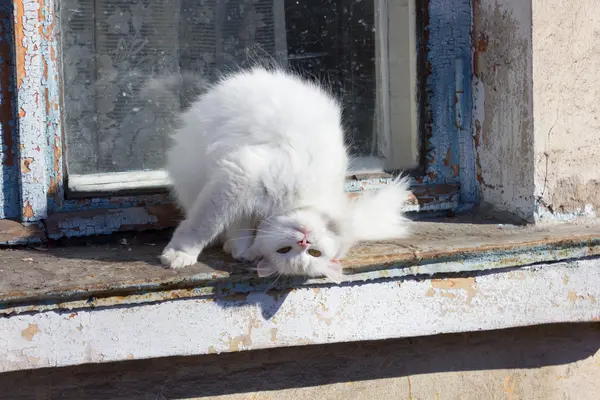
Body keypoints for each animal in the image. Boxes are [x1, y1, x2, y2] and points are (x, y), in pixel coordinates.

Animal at [161, 67, 412, 282]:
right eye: (285, 250)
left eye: (314, 253)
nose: (305, 239)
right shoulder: (238, 177)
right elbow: (203, 226)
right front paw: (179, 254)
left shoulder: (238, 192)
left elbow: (236, 228)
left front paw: (242, 251)